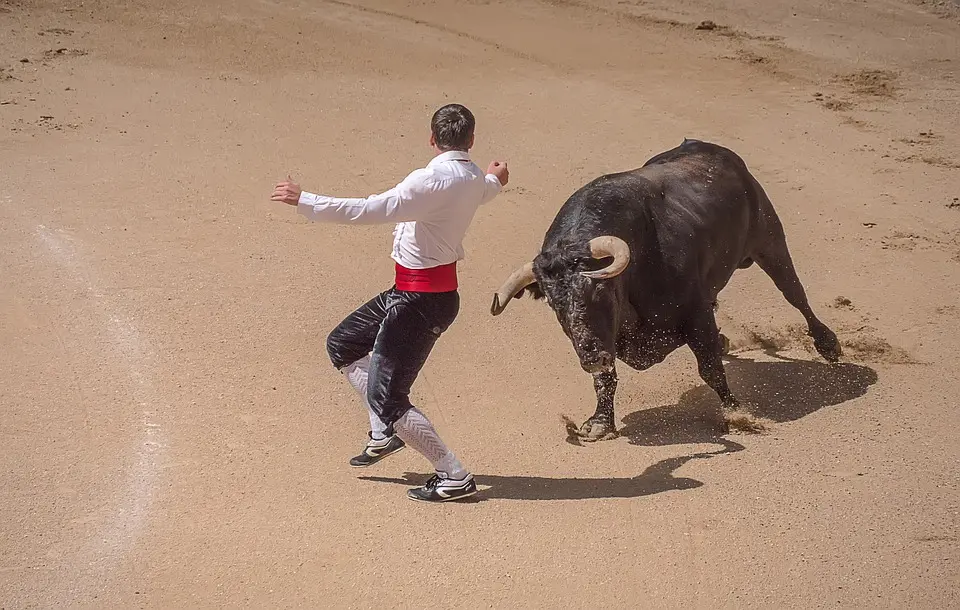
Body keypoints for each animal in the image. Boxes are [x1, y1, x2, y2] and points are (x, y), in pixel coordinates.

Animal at [492, 140, 844, 440]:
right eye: (554, 305)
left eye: (599, 291)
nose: (591, 356)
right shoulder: (608, 341)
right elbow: (605, 379)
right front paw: (600, 423)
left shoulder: (696, 313)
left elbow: (710, 368)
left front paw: (735, 412)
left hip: (769, 240)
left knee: (794, 294)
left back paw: (829, 345)